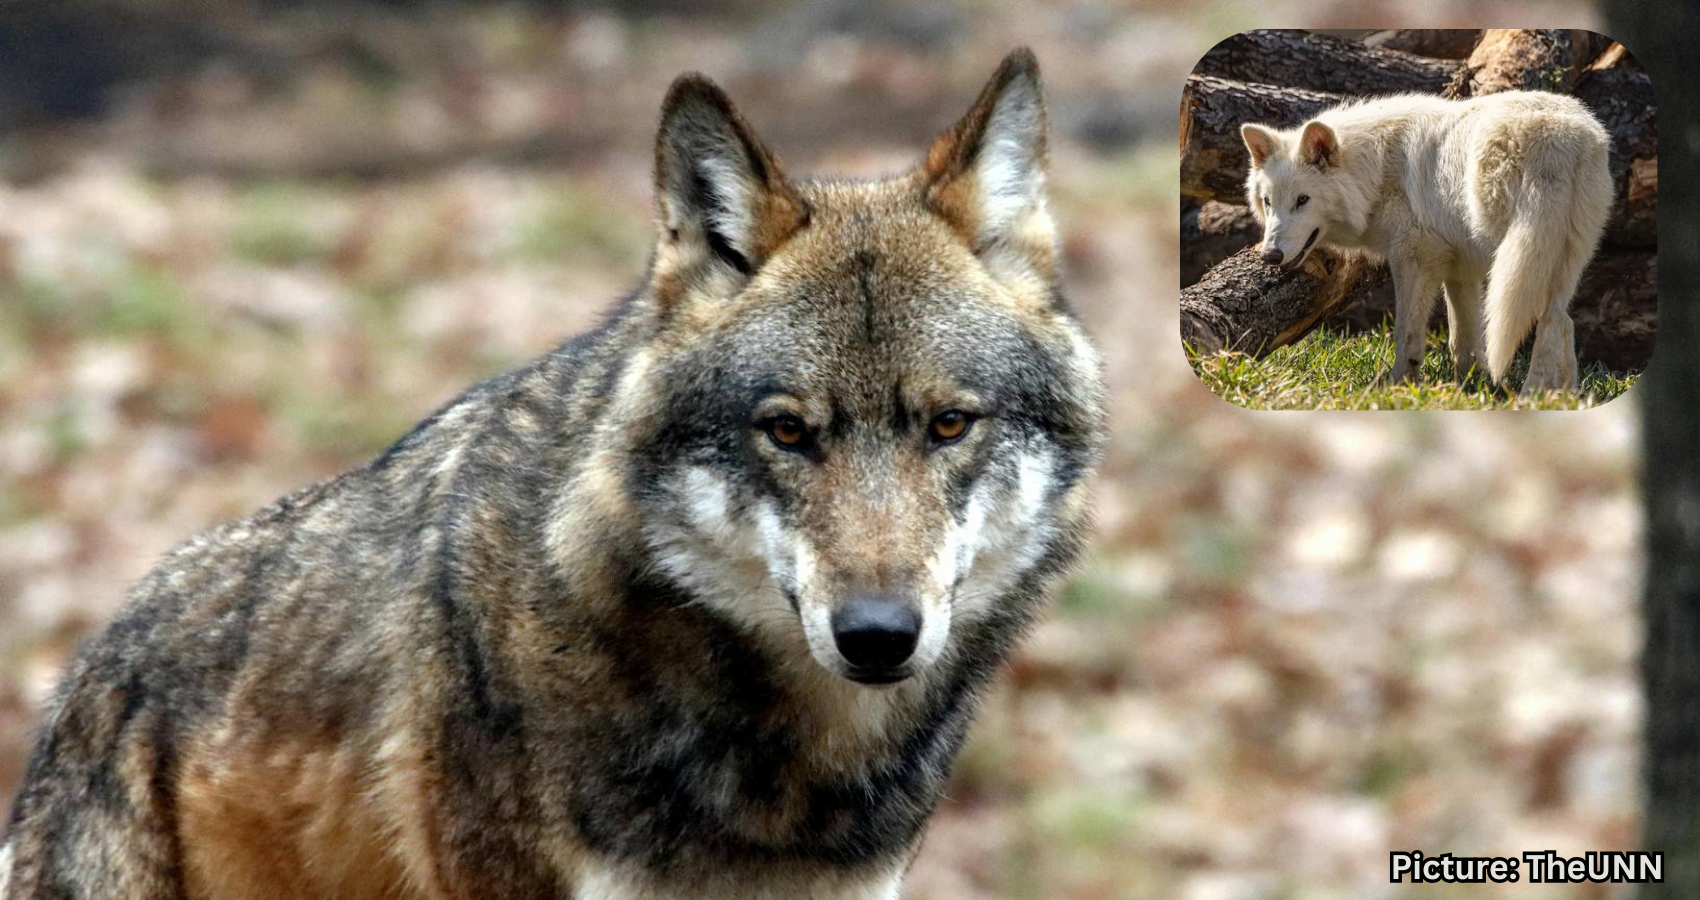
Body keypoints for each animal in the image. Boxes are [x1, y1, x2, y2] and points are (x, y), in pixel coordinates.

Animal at [1240, 90, 1613, 393]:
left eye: (1302, 200)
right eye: (1268, 202)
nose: (1270, 256)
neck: (1376, 171)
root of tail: (1559, 137)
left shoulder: (1414, 260)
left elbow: (1407, 335)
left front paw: (1398, 388)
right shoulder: (1460, 272)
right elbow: (1463, 342)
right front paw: (1468, 388)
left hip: (1514, 260)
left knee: (1547, 322)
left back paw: (1530, 397)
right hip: (1558, 262)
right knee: (1560, 321)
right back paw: (1558, 397)